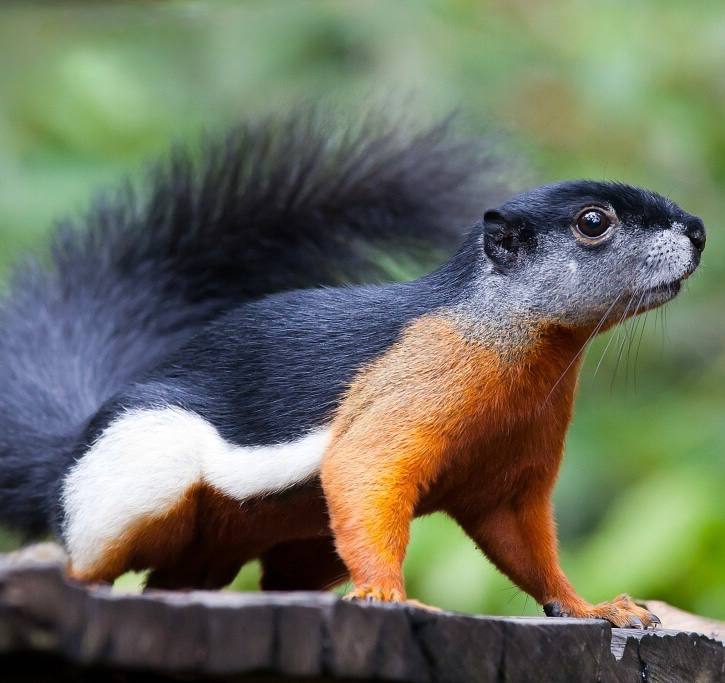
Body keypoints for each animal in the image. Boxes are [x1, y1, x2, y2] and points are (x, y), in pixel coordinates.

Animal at [0, 114, 705, 629]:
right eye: (594, 223)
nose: (699, 230)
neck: (519, 349)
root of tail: (72, 446)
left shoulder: (507, 478)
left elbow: (528, 551)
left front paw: (597, 608)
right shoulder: (407, 394)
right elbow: (364, 471)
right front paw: (389, 596)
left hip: (286, 543)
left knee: (193, 581)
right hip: (137, 481)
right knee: (92, 561)